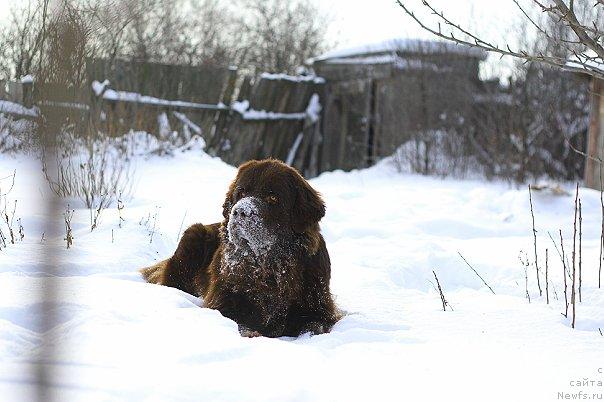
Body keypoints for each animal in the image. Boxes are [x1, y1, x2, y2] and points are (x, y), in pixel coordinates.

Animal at [142, 159, 340, 338]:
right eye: (241, 192)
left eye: (273, 197)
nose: (239, 211)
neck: (268, 267)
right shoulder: (223, 301)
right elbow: (240, 323)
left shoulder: (318, 305)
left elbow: (315, 325)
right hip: (193, 234)